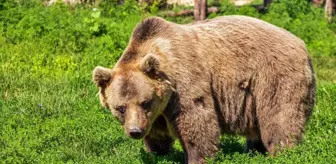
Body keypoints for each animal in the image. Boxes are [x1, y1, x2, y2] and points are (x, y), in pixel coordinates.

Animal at [92, 15, 316, 164]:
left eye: (145, 102)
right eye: (120, 108)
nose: (135, 131)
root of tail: (301, 44)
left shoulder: (184, 82)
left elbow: (197, 120)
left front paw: (197, 157)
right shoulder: (157, 113)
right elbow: (157, 134)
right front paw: (157, 152)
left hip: (274, 77)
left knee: (279, 118)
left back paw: (282, 152)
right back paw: (254, 150)